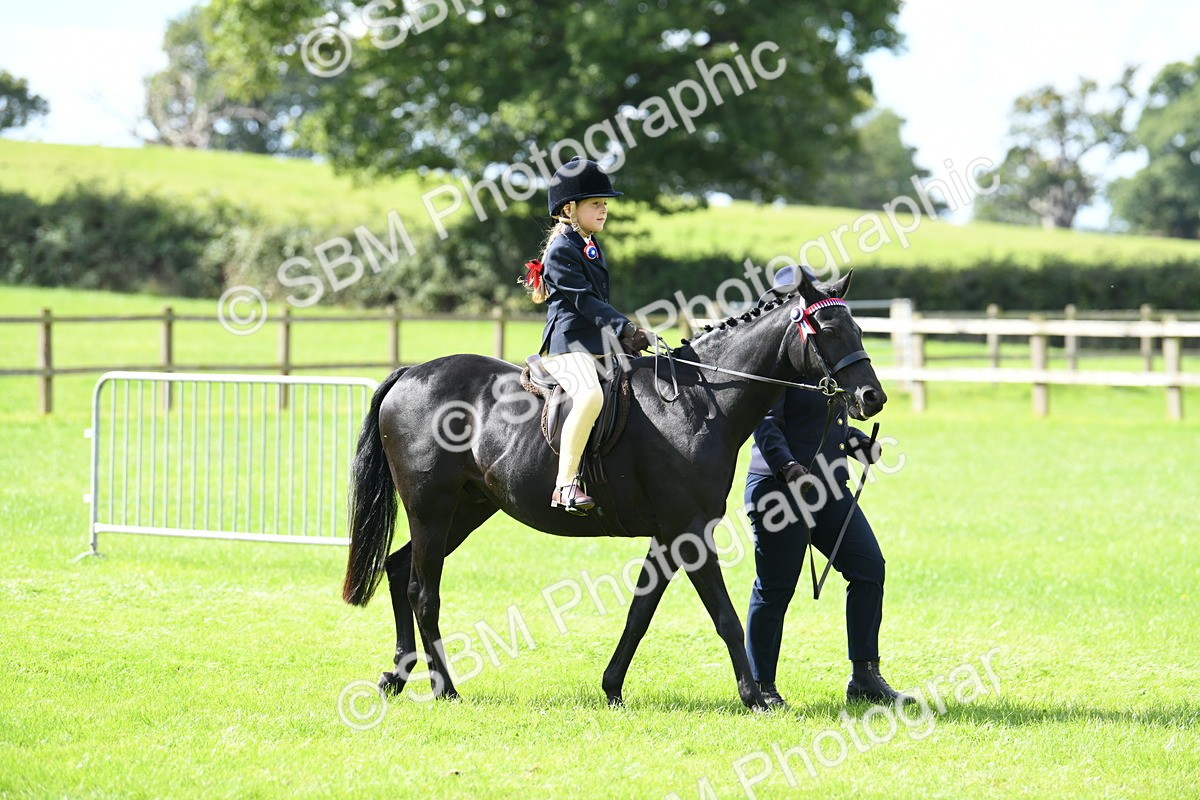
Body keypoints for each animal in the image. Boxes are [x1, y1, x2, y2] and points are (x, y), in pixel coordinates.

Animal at [342, 269, 886, 710]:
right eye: (828, 331)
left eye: (860, 330)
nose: (872, 397)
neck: (699, 400)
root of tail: (411, 373)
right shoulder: (690, 531)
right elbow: (726, 617)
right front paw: (755, 698)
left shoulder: (669, 536)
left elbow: (639, 613)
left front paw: (612, 688)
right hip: (431, 510)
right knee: (422, 591)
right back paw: (445, 688)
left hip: (466, 510)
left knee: (398, 571)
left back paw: (397, 675)